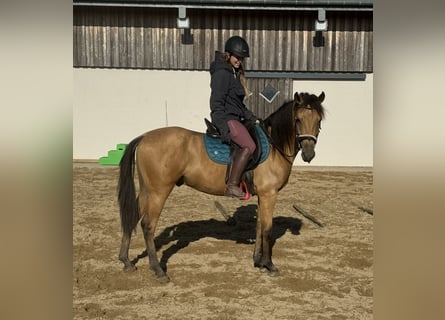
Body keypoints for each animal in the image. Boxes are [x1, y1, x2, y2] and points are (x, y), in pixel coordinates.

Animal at [118, 90, 326, 282]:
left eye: (318, 120)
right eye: (297, 119)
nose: (309, 153)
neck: (274, 145)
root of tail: (144, 137)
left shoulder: (262, 195)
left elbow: (259, 226)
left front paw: (257, 261)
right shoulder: (269, 194)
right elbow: (267, 228)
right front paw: (269, 264)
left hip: (147, 190)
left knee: (133, 216)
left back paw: (126, 261)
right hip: (159, 191)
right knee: (148, 225)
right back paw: (158, 270)